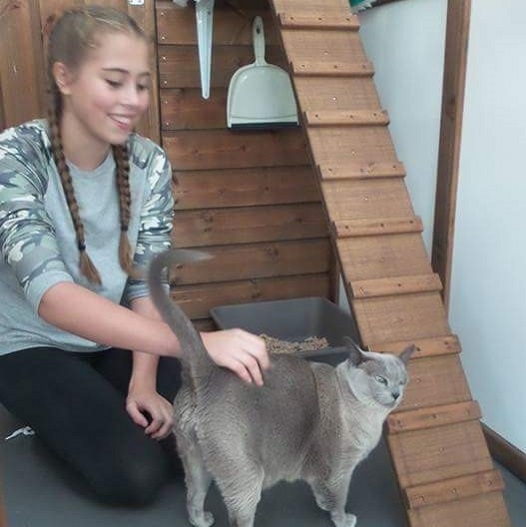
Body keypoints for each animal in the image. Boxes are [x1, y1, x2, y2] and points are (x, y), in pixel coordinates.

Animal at [148, 251, 416, 527]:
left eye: (402, 381)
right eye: (381, 380)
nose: (396, 394)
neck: (369, 416)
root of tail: (207, 371)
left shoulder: (323, 472)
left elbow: (322, 492)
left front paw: (324, 505)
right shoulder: (340, 469)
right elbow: (339, 499)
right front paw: (344, 520)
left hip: (195, 461)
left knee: (192, 497)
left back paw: (203, 520)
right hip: (245, 475)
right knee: (237, 517)